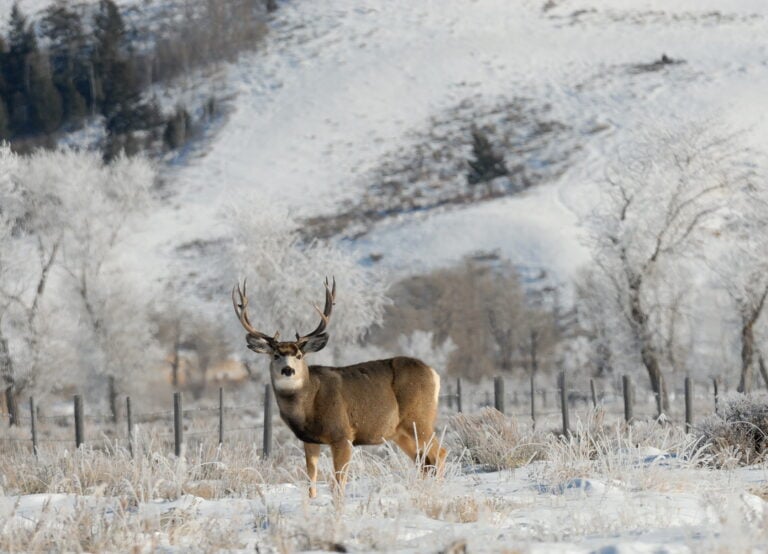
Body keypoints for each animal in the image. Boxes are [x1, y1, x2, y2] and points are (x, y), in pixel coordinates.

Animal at [232, 278, 446, 498]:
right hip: (400, 432)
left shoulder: (342, 434)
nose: (288, 370)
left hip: (419, 418)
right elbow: (311, 478)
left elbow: (339, 481)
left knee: (439, 453)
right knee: (424, 461)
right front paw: (312, 500)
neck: (308, 406)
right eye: (275, 355)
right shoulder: (309, 439)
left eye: (299, 355)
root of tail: (433, 373)